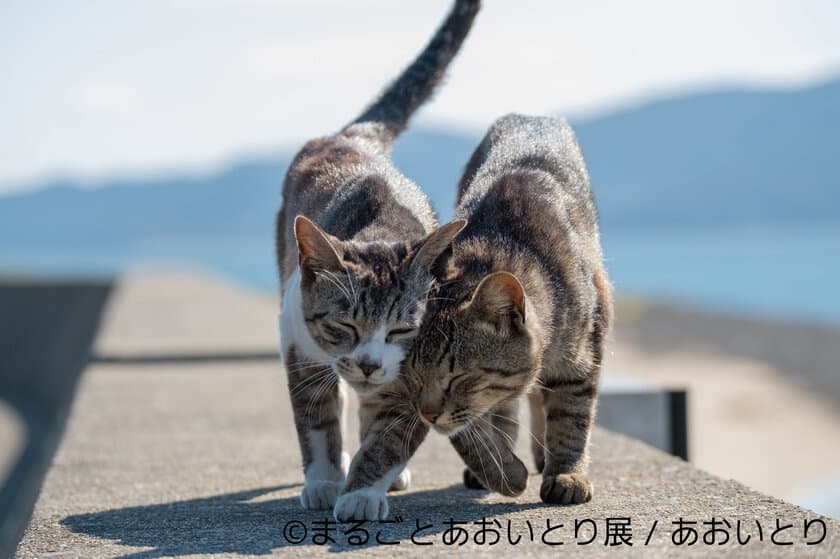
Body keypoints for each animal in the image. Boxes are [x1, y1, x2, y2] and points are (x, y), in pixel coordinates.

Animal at [354, 114, 612, 516]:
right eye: (412, 377)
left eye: (457, 378)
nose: (427, 414)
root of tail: (531, 116)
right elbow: (476, 433)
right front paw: (502, 471)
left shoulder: (583, 354)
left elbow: (571, 417)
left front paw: (567, 473)